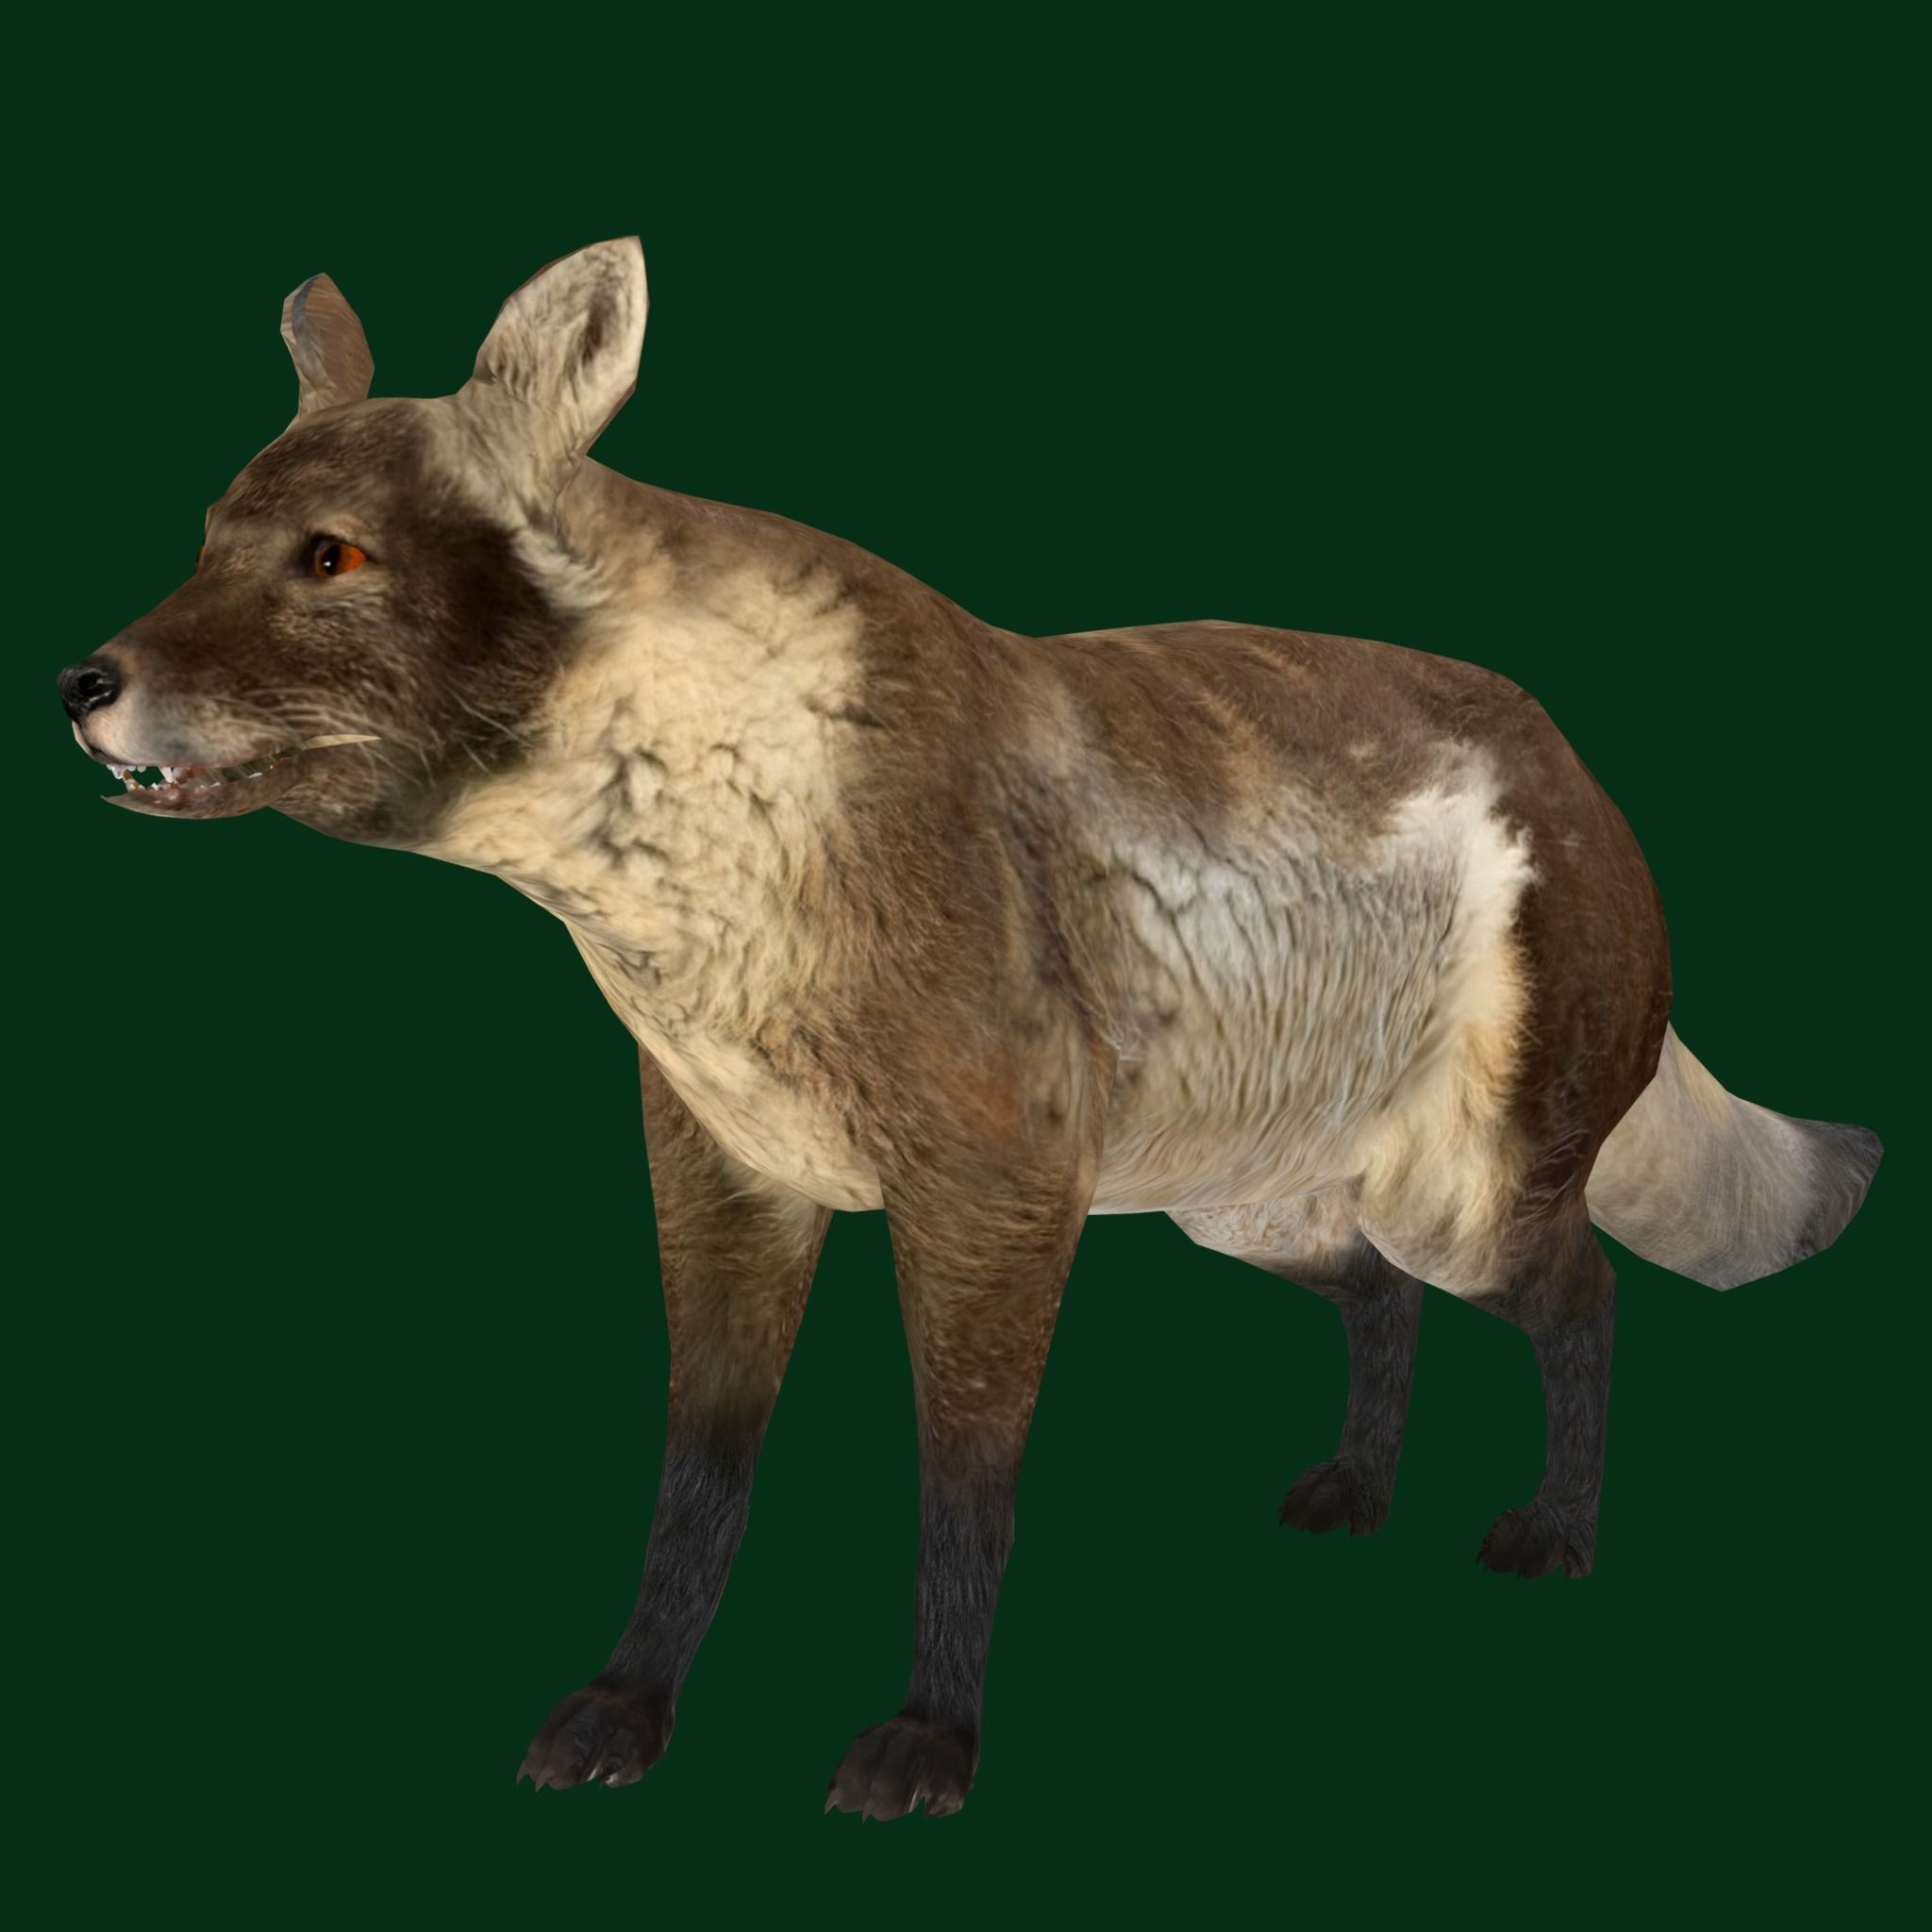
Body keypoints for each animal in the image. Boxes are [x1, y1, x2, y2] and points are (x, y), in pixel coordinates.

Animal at [57, 236, 1882, 1820]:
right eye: (207, 538)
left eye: (330, 558)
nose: (80, 682)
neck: (721, 867)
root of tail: (1572, 759)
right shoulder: (731, 1184)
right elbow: (698, 1492)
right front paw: (626, 1712)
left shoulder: (992, 1205)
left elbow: (963, 1493)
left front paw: (930, 1742)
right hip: (1255, 1212)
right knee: (1381, 1305)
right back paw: (1355, 1493)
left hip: (1463, 1206)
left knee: (1583, 1300)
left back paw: (1554, 1533)